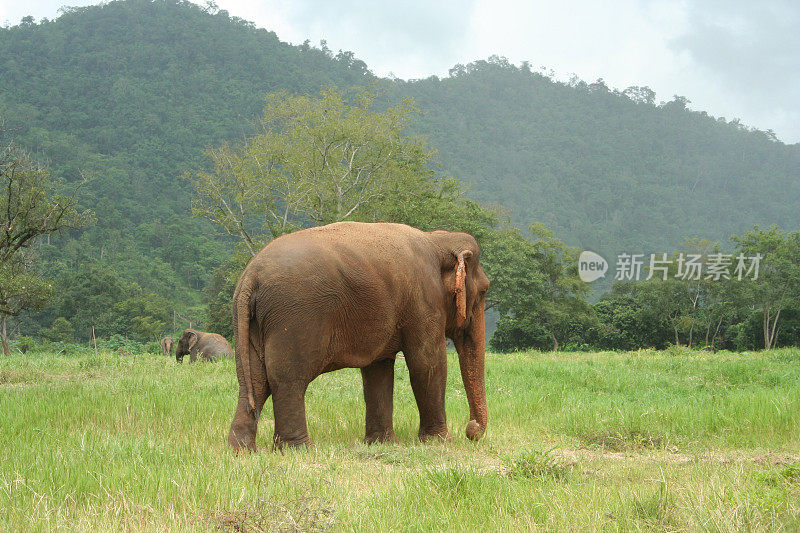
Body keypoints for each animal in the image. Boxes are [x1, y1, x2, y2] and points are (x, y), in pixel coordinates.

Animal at [223, 220, 488, 448]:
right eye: (484, 291)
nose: (471, 430)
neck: (437, 239)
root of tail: (250, 277)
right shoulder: (424, 301)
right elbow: (427, 363)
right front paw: (441, 442)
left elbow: (378, 370)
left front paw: (383, 443)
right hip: (293, 316)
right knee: (288, 377)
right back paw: (299, 449)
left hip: (249, 322)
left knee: (254, 380)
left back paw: (242, 450)